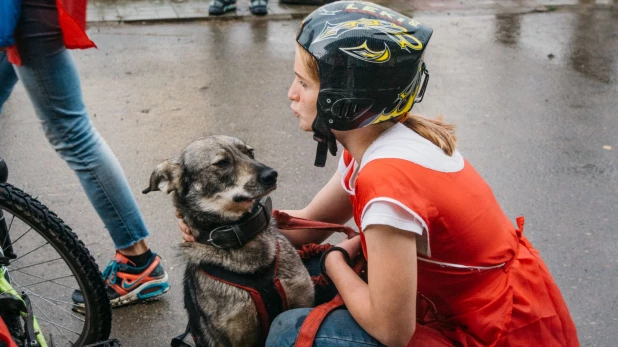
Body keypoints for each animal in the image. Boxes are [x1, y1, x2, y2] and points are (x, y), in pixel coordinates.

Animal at [141, 136, 310, 347]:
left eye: (250, 153)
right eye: (222, 163)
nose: (272, 175)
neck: (242, 236)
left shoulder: (304, 302)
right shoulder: (235, 337)